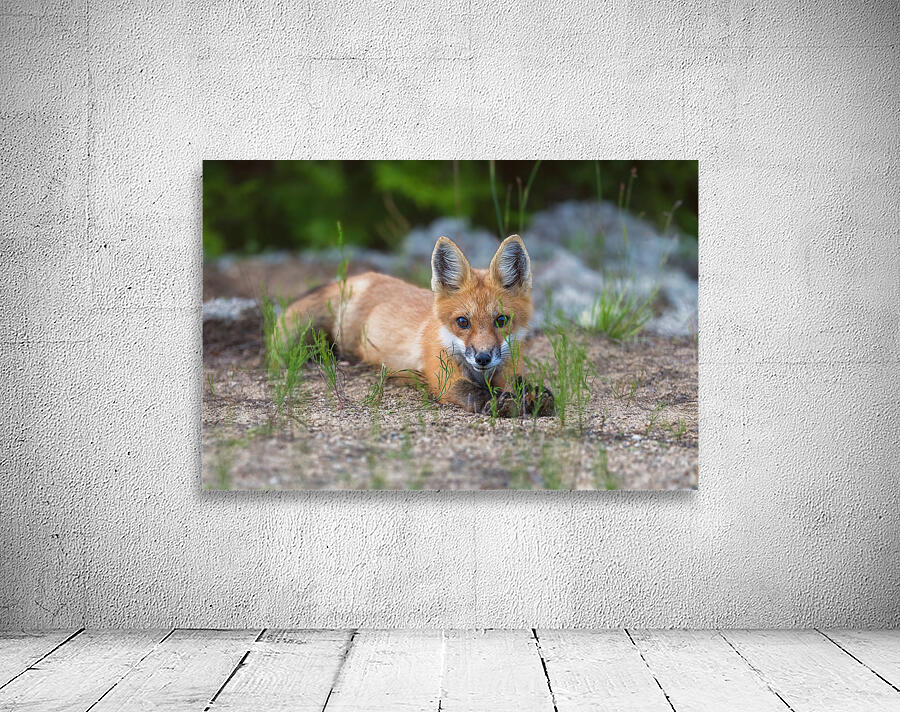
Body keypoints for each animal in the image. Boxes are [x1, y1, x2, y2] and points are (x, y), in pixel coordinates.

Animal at [277, 234, 554, 416]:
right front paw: (501, 403)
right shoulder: (444, 379)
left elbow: (521, 383)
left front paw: (536, 396)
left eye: (501, 320)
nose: (483, 358)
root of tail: (360, 278)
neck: (481, 374)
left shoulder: (508, 370)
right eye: (462, 322)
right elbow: (476, 392)